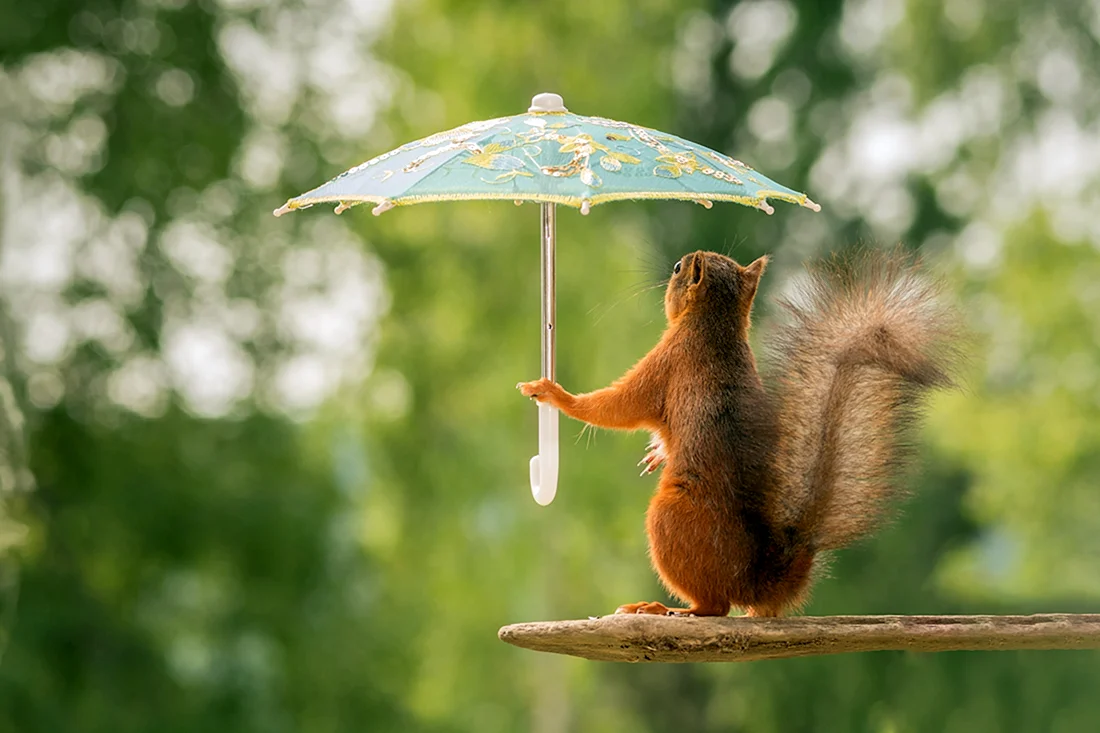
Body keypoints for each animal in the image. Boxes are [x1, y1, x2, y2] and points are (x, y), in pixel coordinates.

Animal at [518, 249, 960, 617]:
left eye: (678, 268)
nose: (669, 270)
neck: (716, 323)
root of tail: (755, 581)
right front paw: (657, 453)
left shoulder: (667, 360)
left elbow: (617, 406)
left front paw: (554, 393)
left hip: (670, 517)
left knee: (714, 607)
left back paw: (664, 608)